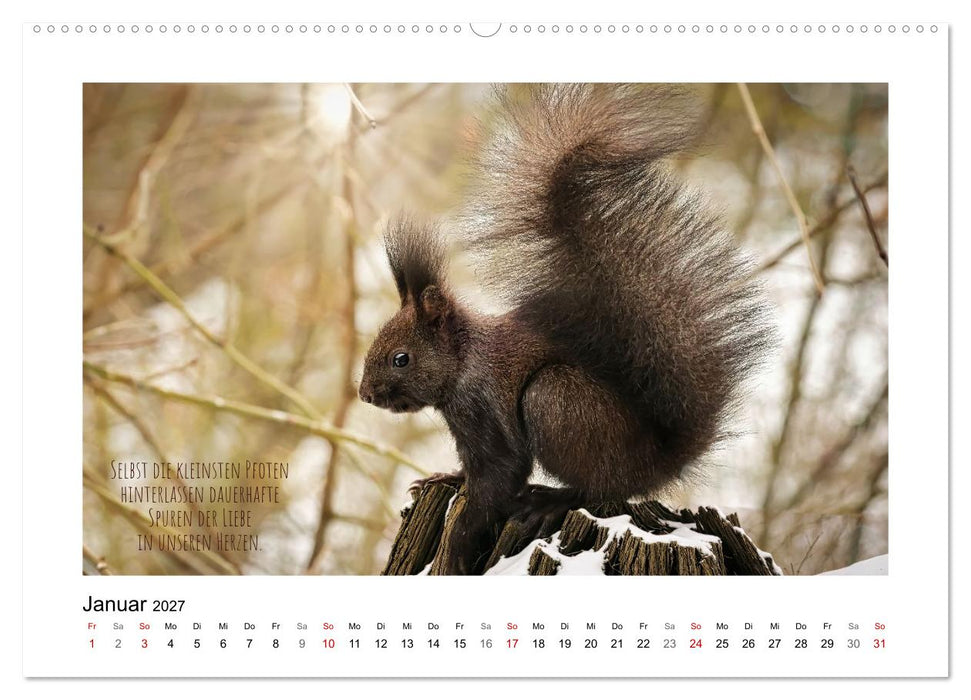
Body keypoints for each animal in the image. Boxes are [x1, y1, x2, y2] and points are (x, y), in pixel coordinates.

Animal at [358, 84, 773, 575]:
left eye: (401, 358)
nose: (365, 394)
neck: (462, 361)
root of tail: (658, 459)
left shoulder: (484, 411)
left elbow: (499, 478)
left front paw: (458, 546)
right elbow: (471, 474)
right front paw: (444, 477)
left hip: (555, 399)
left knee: (601, 489)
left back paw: (550, 501)